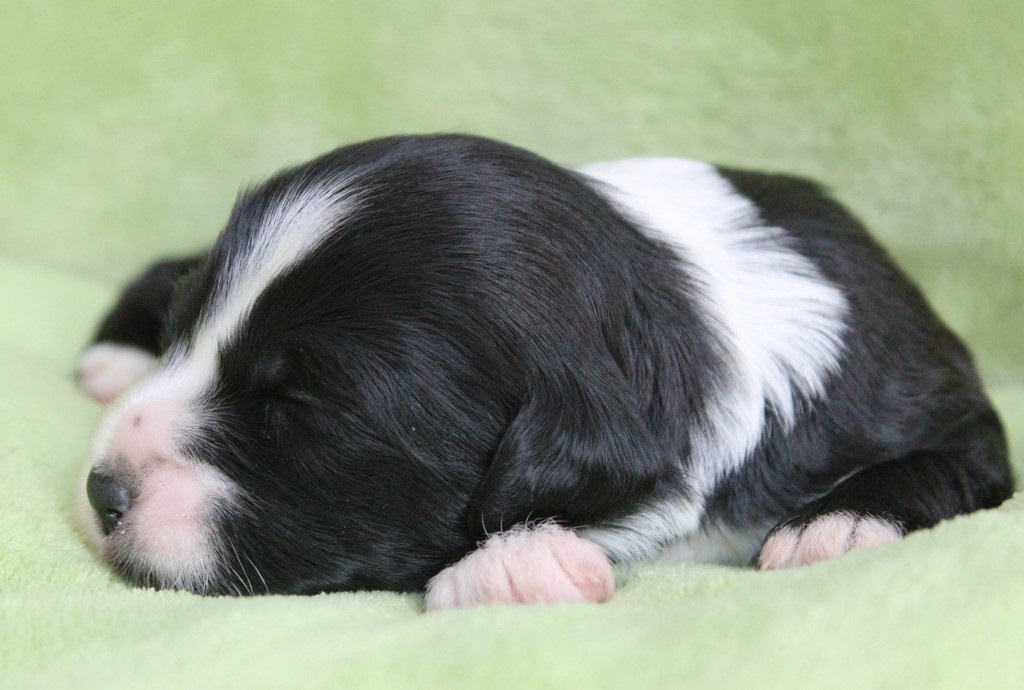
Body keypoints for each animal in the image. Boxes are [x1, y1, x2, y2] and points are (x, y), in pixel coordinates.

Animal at [75, 134, 1013, 608]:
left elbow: (955, 459)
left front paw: (840, 525)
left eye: (302, 406)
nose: (100, 492)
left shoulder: (923, 387)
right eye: (185, 333)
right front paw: (518, 565)